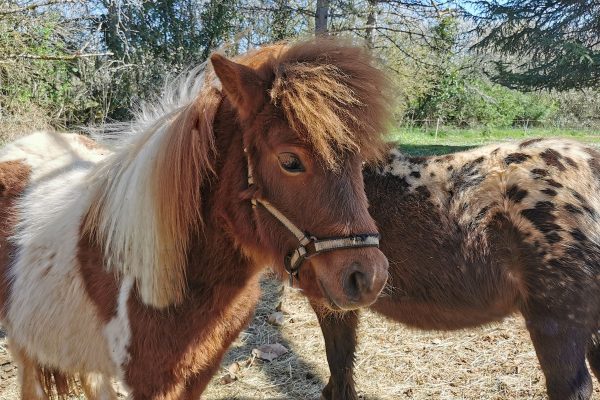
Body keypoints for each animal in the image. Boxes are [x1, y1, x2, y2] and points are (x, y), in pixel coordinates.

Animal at [0, 38, 392, 400]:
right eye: (290, 161)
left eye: (358, 161)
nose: (368, 278)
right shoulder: (152, 383)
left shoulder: (199, 370)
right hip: (22, 340)